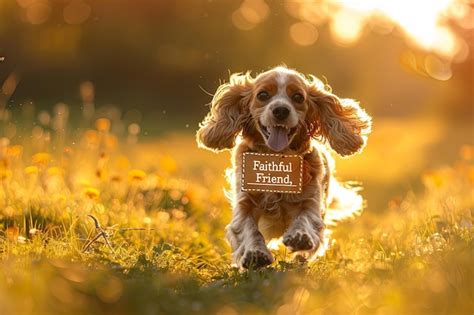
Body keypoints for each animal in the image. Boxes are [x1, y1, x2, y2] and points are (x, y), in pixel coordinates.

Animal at [195, 66, 370, 270]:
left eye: (298, 97)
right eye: (263, 95)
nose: (280, 110)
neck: (277, 161)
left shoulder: (311, 201)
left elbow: (306, 218)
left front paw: (300, 237)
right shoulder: (244, 203)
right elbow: (248, 229)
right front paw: (255, 253)